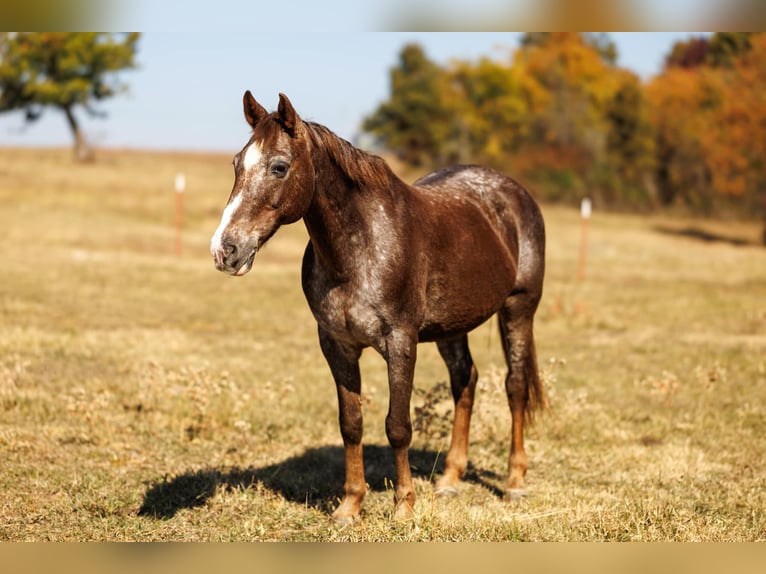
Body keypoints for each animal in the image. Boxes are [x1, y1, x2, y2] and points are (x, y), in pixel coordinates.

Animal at [210, 92, 546, 524]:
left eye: (279, 166)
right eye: (237, 163)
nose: (225, 250)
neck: (362, 247)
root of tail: (513, 191)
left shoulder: (401, 343)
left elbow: (397, 425)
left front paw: (404, 506)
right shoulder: (337, 345)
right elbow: (351, 423)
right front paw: (350, 505)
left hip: (519, 309)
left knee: (515, 387)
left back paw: (515, 483)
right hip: (452, 327)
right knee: (465, 381)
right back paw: (450, 480)